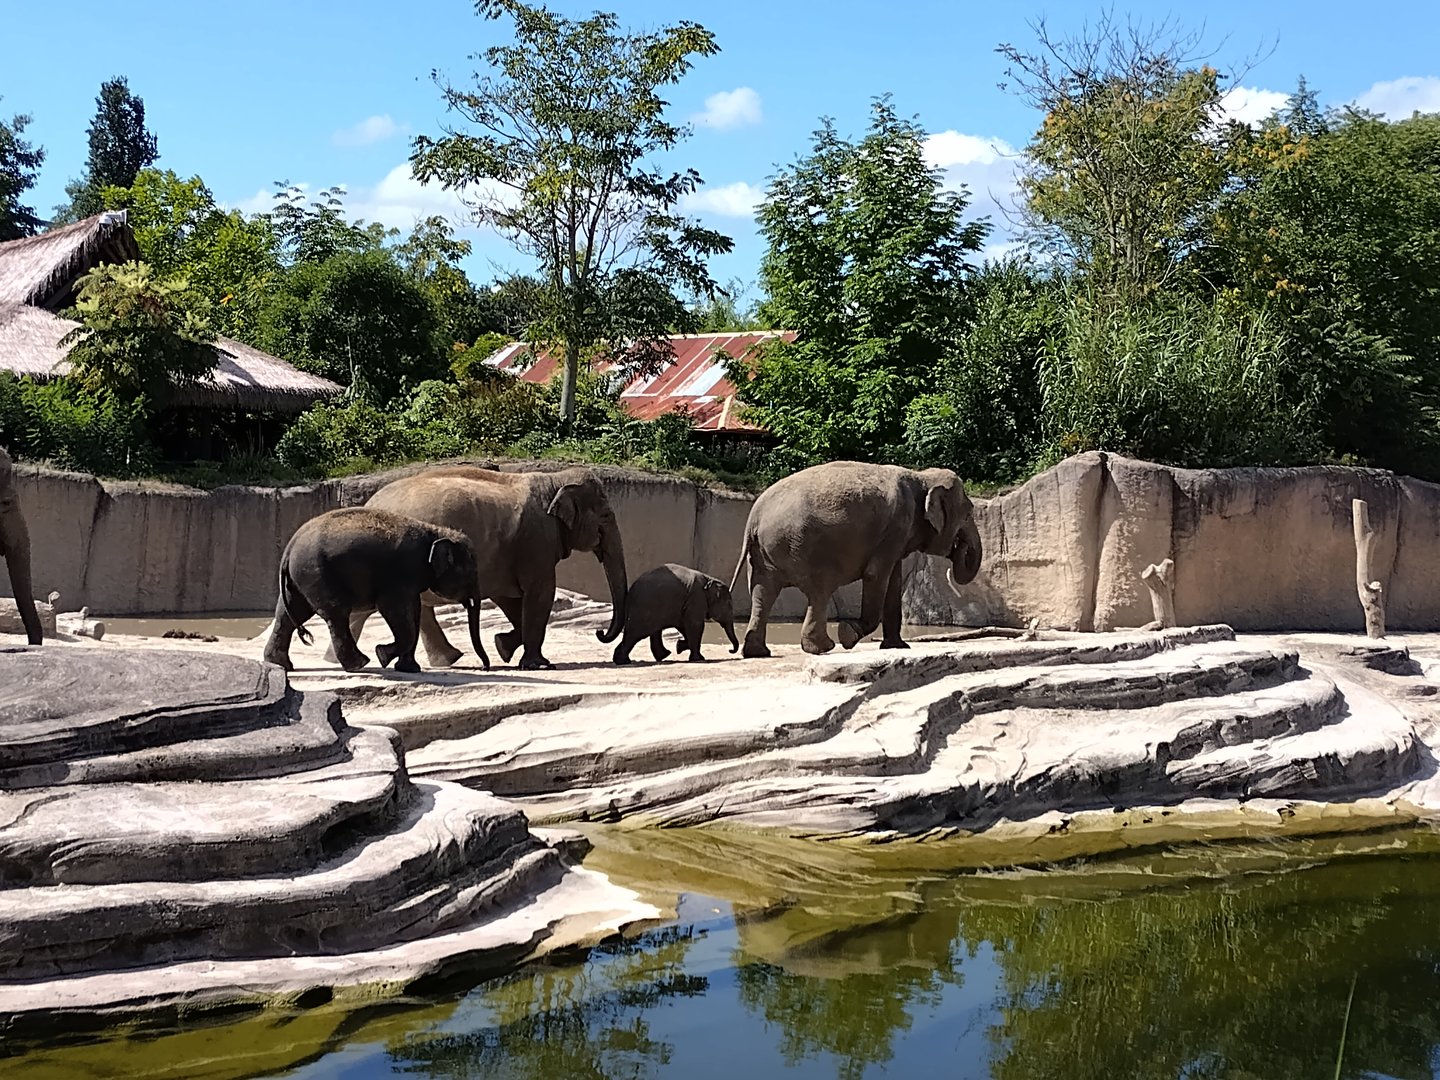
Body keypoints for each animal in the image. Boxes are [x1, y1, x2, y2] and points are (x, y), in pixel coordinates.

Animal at [262, 506, 490, 674]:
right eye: (470, 573)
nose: (485, 668)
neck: (436, 532)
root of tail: (289, 550)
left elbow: (413, 611)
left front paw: (409, 669)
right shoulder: (398, 573)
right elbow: (393, 610)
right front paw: (382, 655)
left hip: (299, 580)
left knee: (288, 614)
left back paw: (281, 665)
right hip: (317, 573)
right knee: (335, 615)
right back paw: (360, 664)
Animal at [363, 465, 628, 671]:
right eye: (606, 515)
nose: (600, 633)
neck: (554, 480)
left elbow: (511, 598)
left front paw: (503, 647)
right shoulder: (537, 541)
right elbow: (541, 593)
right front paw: (539, 664)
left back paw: (446, 660)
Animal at [730, 461, 982, 657]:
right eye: (968, 513)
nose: (960, 546)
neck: (921, 476)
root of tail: (754, 517)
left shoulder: (895, 536)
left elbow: (893, 581)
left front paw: (898, 647)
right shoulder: (896, 526)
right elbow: (876, 576)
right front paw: (848, 635)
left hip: (763, 554)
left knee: (762, 592)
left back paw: (758, 652)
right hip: (804, 547)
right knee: (819, 591)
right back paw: (824, 647)